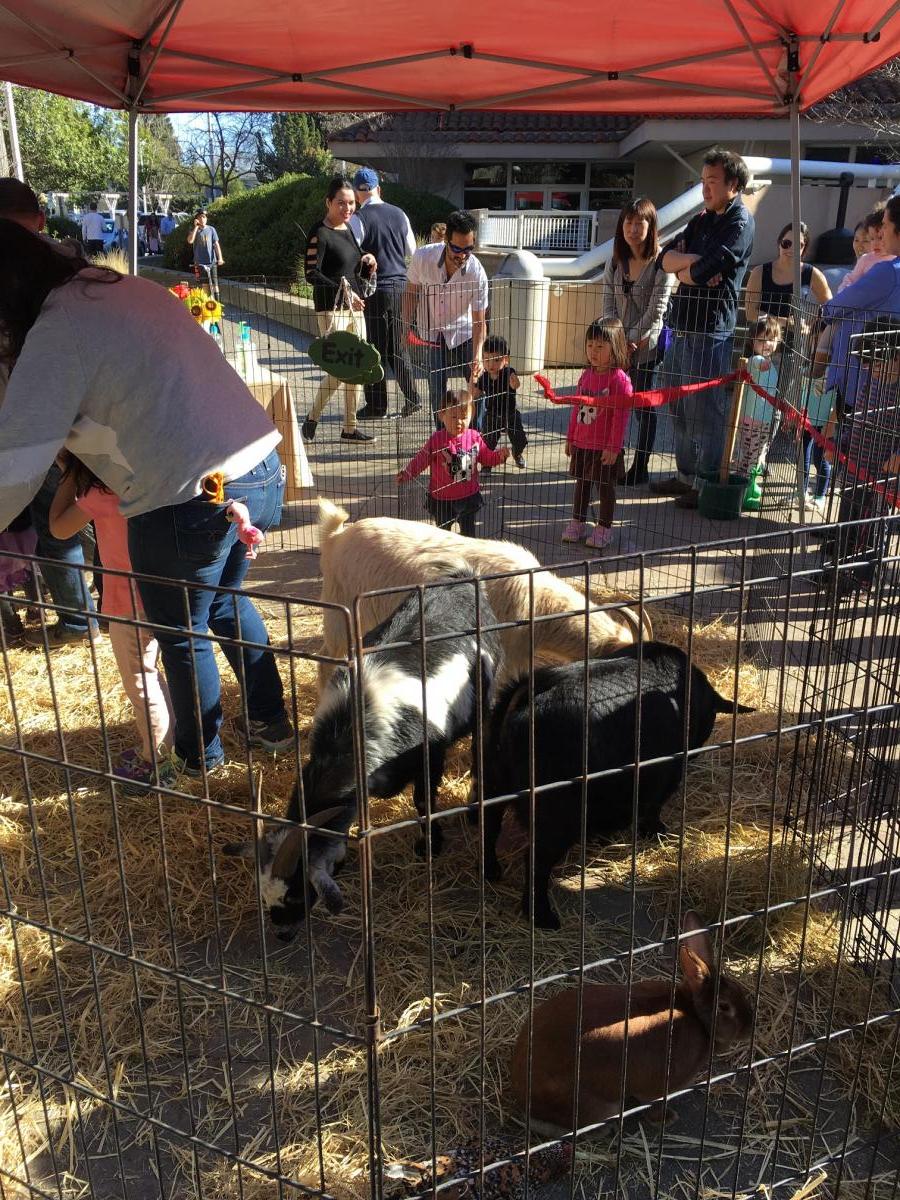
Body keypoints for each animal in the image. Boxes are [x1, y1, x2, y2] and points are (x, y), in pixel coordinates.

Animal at [225, 574, 500, 941]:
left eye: (298, 893)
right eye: (263, 890)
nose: (283, 934)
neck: (349, 729)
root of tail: (462, 579)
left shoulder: (431, 749)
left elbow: (423, 801)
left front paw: (431, 845)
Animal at [477, 642, 753, 930]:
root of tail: (522, 699)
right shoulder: (665, 773)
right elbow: (653, 807)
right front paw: (657, 832)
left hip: (492, 781)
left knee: (489, 825)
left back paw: (490, 872)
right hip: (556, 815)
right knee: (535, 862)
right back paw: (544, 918)